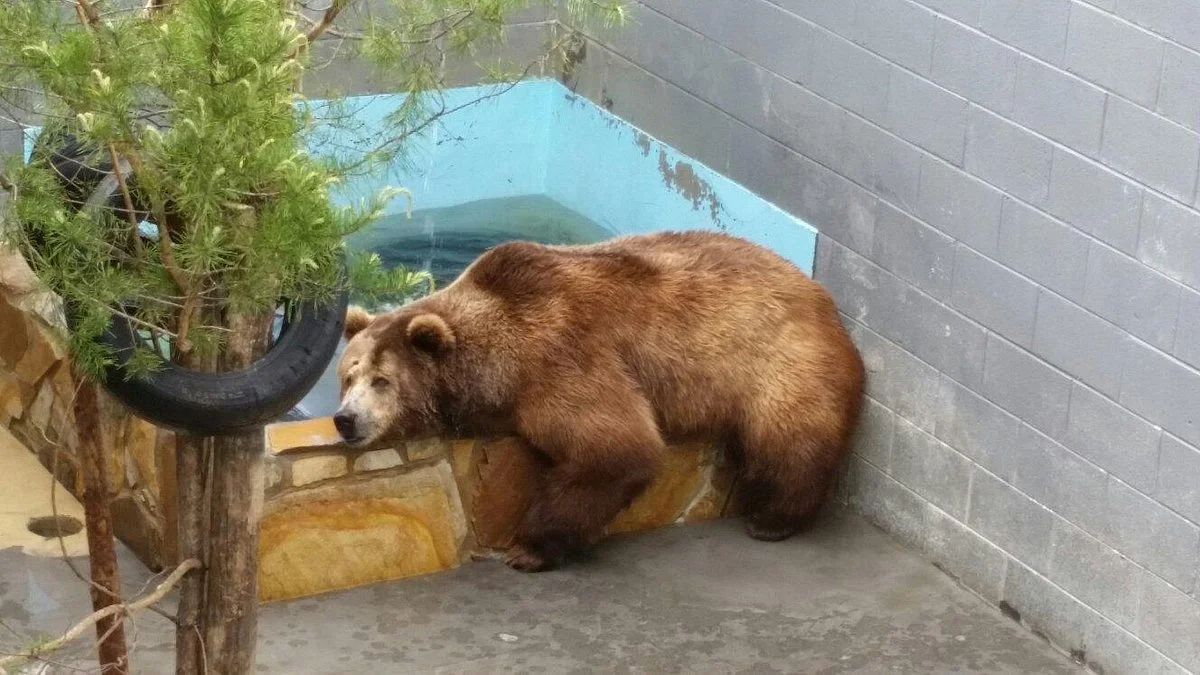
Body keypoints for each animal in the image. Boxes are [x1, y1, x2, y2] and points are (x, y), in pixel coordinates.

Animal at [334, 230, 865, 572]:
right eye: (347, 375)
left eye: (382, 380)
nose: (344, 419)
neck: (493, 368)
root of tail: (823, 300)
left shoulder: (559, 359)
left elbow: (616, 448)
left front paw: (528, 548)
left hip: (778, 361)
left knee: (789, 439)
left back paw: (774, 517)